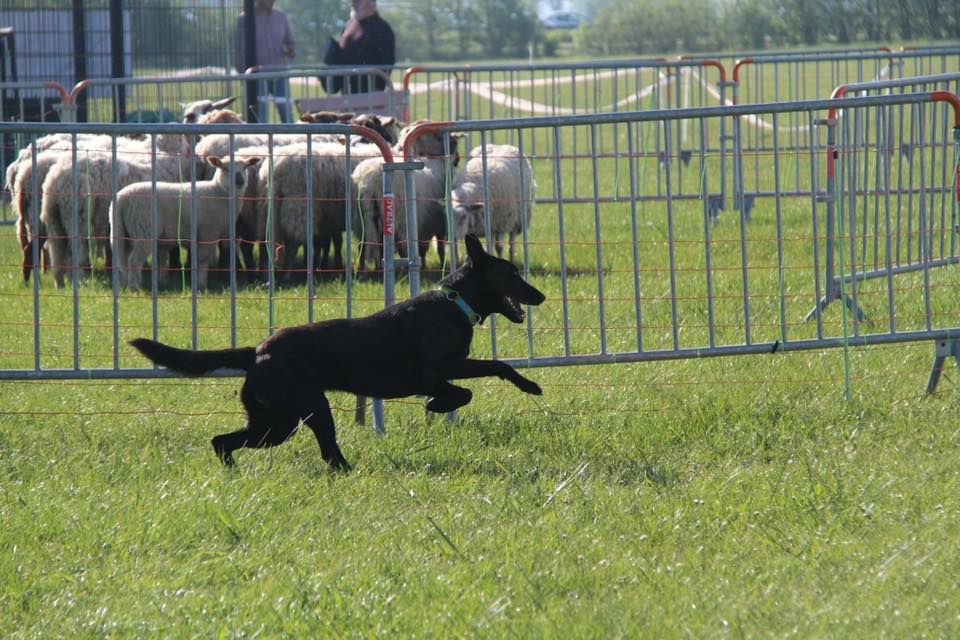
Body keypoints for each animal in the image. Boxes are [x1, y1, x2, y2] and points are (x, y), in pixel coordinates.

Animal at [110, 156, 260, 290]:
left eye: (245, 167)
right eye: (225, 168)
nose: (240, 181)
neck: (218, 191)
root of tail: (121, 199)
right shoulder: (207, 233)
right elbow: (202, 261)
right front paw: (201, 285)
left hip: (124, 231)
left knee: (122, 259)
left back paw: (124, 286)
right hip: (144, 228)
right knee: (133, 260)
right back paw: (134, 288)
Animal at [130, 235, 544, 470]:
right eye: (512, 274)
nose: (540, 295)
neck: (454, 302)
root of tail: (257, 351)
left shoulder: (445, 370)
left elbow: (486, 374)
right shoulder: (438, 371)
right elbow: (482, 376)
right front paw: (440, 405)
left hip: (275, 423)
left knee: (224, 441)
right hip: (306, 411)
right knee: (328, 452)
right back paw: (347, 471)